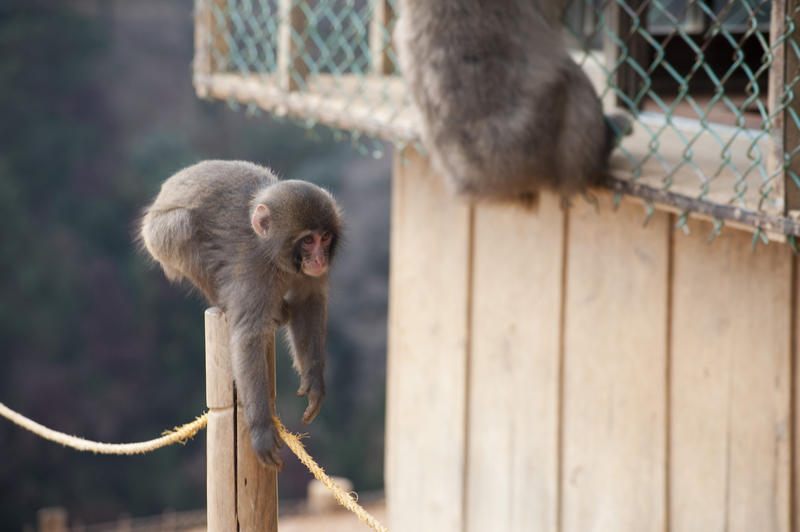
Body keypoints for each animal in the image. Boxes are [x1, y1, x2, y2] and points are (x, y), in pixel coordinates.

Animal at [141, 159, 340, 470]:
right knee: (182, 226)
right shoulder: (254, 271)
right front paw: (261, 429)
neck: (273, 253)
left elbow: (308, 299)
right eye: (308, 240)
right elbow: (248, 338)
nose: (319, 259)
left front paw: (314, 380)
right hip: (158, 237)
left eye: (325, 237)